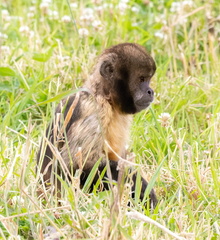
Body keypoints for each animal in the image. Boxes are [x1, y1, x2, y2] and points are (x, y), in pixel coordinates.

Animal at [37, 43, 158, 208]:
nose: (150, 91)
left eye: (148, 80)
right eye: (141, 79)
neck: (104, 96)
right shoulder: (95, 110)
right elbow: (75, 166)